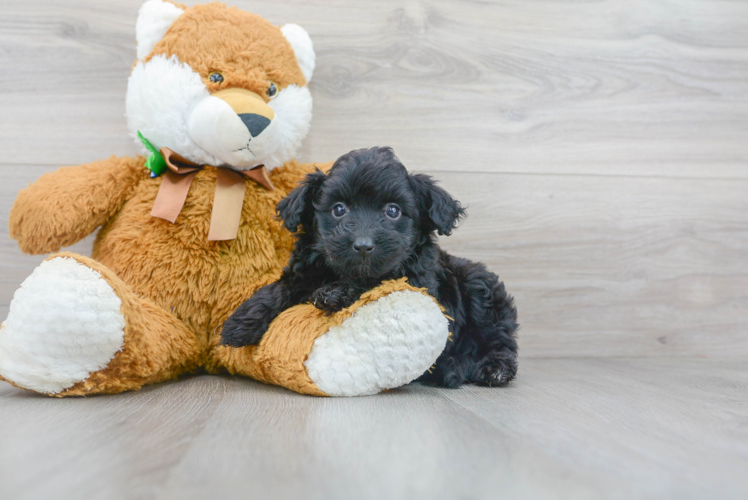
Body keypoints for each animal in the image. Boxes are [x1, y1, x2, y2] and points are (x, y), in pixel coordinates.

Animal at [219, 146, 516, 388]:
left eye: (393, 211)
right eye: (339, 209)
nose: (363, 245)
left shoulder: (416, 281)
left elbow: (376, 281)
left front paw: (335, 293)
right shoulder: (303, 270)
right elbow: (281, 288)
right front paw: (241, 322)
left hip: (479, 289)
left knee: (499, 339)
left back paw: (491, 368)